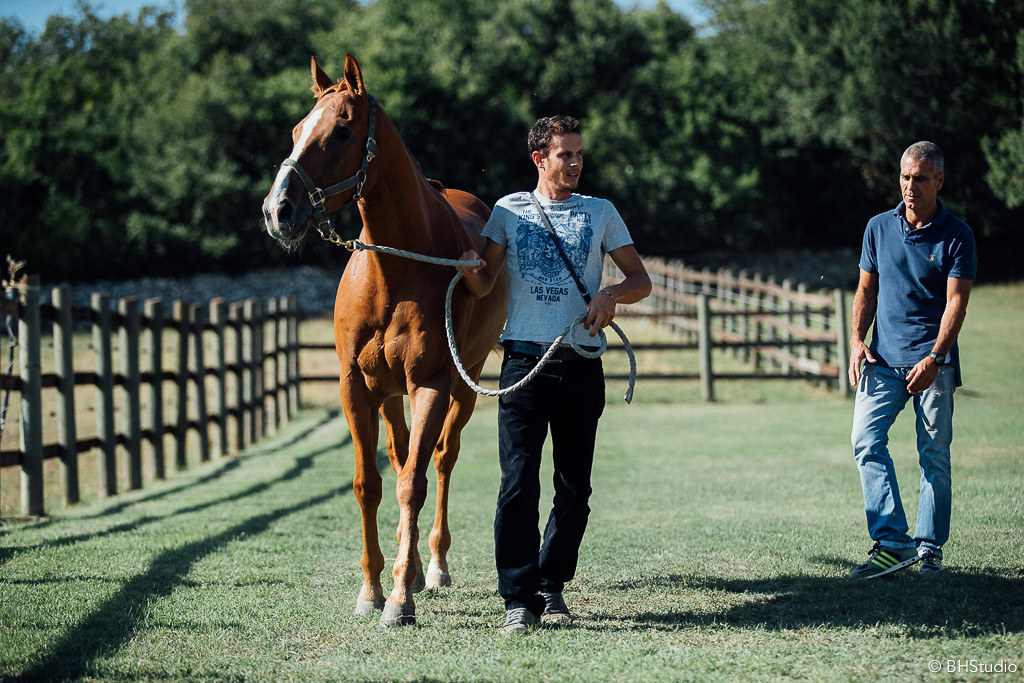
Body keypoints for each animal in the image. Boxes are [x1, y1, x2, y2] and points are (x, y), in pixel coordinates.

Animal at [262, 54, 508, 627]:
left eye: (342, 130)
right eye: (297, 130)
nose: (278, 211)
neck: (395, 271)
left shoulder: (431, 385)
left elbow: (413, 483)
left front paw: (398, 599)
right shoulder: (356, 387)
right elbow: (369, 484)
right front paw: (373, 587)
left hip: (462, 387)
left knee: (439, 461)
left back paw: (431, 567)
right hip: (390, 395)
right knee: (399, 456)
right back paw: (412, 566)